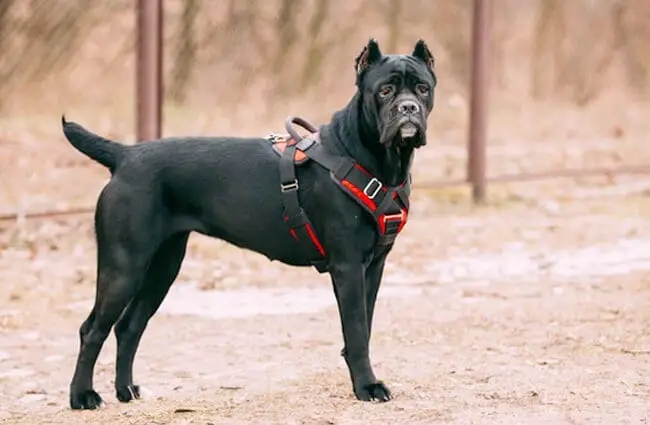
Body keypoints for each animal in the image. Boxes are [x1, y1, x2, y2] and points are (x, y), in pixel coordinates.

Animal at [62, 39, 436, 408]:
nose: (408, 108)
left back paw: (127, 390)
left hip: (162, 267)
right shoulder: (348, 266)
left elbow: (365, 328)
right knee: (92, 329)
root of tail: (124, 155)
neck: (370, 156)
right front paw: (367, 387)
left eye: (422, 88)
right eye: (385, 90)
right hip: (124, 265)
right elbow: (357, 331)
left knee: (129, 327)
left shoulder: (373, 266)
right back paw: (83, 396)